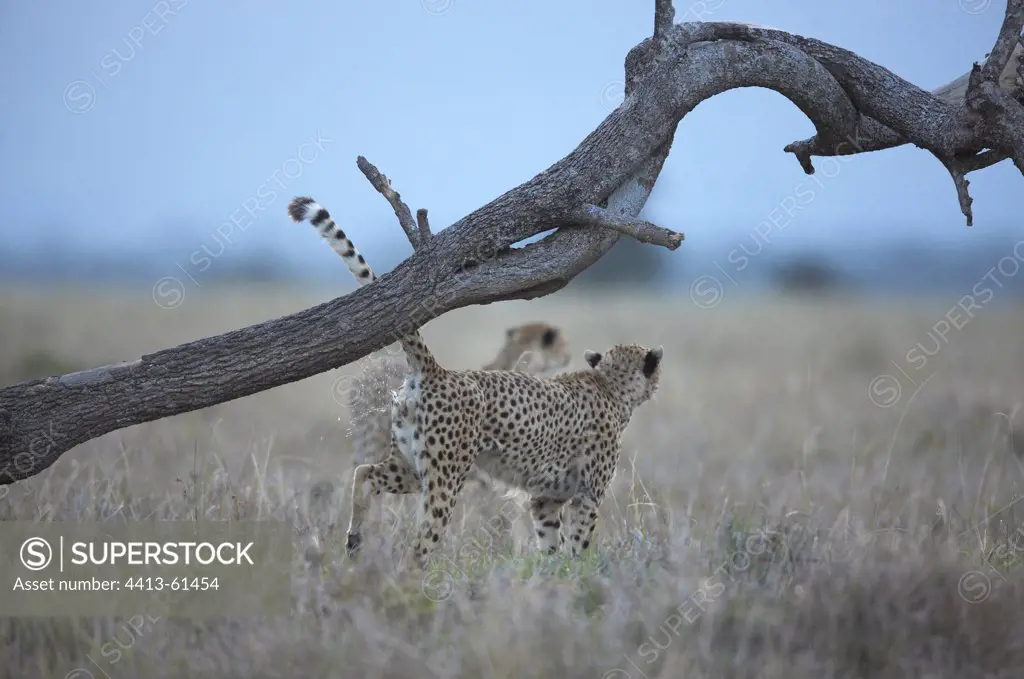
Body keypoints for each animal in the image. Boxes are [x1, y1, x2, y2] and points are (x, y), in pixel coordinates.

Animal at [286, 195, 663, 569]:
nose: (657, 382)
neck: (610, 384)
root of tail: (437, 370)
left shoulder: (545, 498)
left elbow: (550, 544)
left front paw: (553, 575)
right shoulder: (585, 496)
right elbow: (579, 543)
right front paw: (579, 573)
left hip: (409, 466)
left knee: (363, 474)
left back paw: (354, 541)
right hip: (445, 476)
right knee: (420, 542)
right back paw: (412, 575)